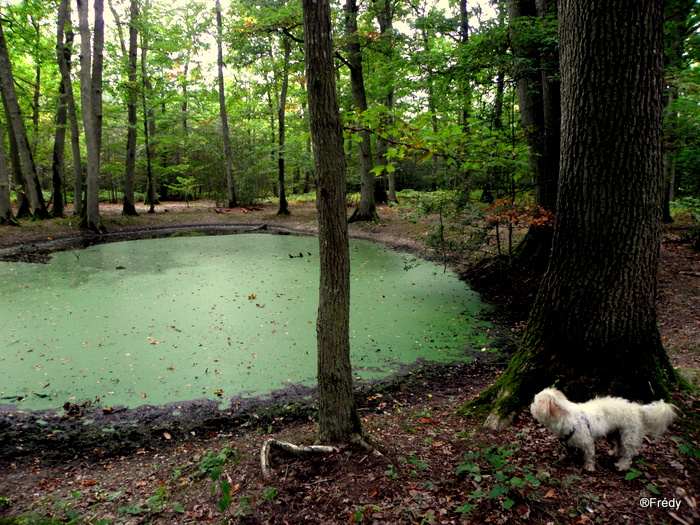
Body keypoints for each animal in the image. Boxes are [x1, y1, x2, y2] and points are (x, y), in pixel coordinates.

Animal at [532, 384, 680, 470]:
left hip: (629, 435)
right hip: (616, 433)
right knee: (619, 445)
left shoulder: (587, 441)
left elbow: (589, 454)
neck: (566, 415)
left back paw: (622, 465)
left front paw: (589, 466)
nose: (530, 406)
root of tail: (637, 409)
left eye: (535, 401)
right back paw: (615, 453)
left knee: (628, 452)